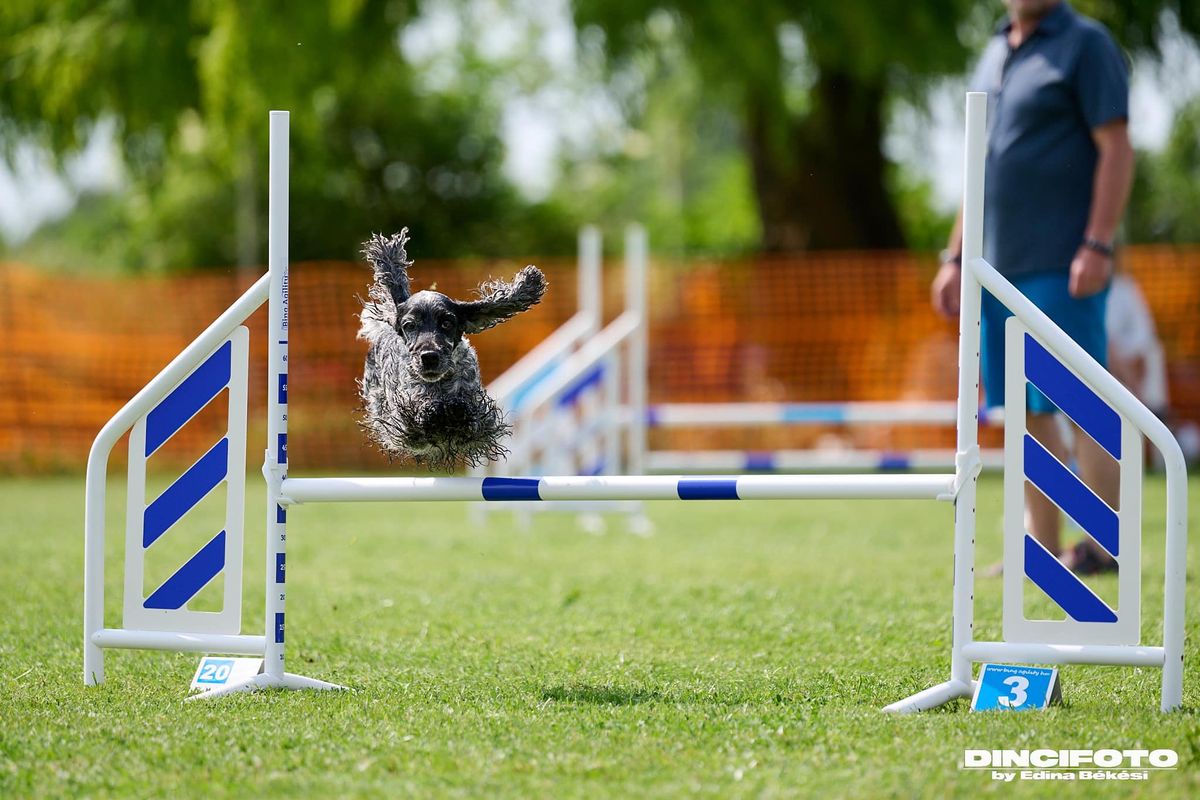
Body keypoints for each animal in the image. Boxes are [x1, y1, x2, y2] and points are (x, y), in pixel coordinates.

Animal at [352, 230, 547, 470]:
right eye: (409, 325)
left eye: (446, 322)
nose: (429, 357)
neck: (440, 387)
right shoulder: (404, 422)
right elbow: (421, 415)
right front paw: (435, 411)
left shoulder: (480, 417)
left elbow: (468, 413)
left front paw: (454, 410)